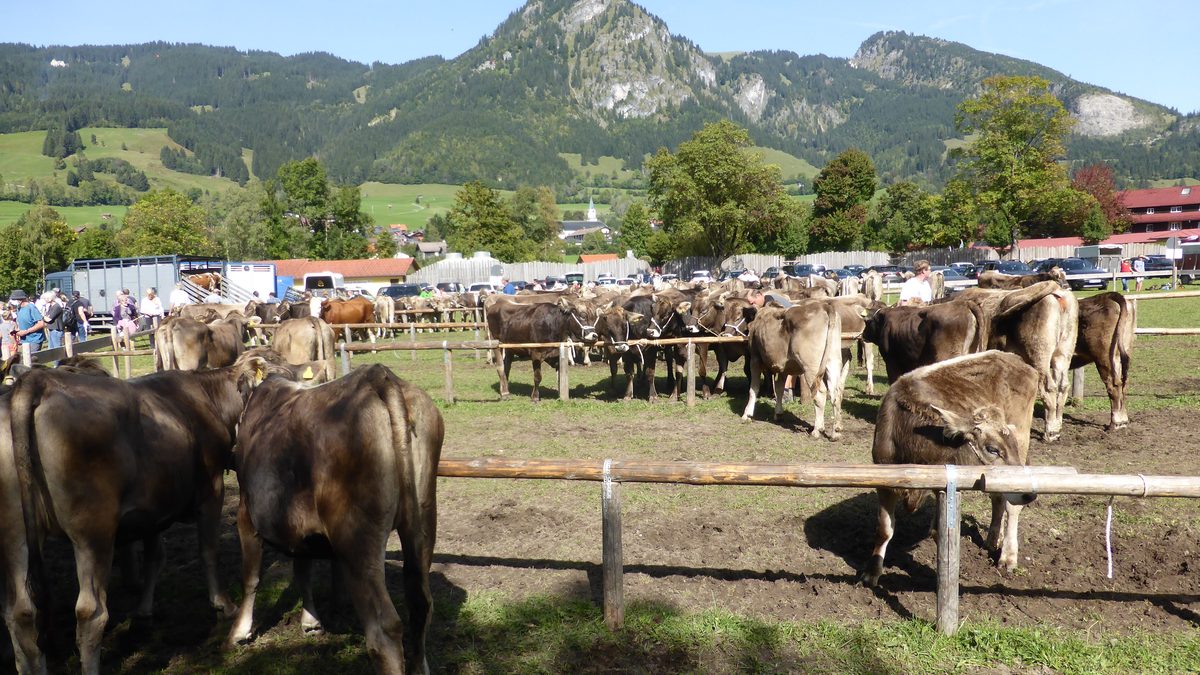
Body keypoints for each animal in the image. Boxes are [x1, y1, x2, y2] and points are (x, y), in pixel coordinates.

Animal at [2, 359, 269, 673]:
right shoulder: (211, 489)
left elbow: (155, 558)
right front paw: (223, 604)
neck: (207, 397)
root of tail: (39, 380)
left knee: (20, 613)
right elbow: (208, 550)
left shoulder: (153, 509)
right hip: (93, 532)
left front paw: (143, 610)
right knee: (91, 612)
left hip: (14, 534)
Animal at [227, 364, 441, 674]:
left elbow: (251, 577)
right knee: (421, 604)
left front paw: (239, 632)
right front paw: (311, 622)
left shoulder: (246, 513)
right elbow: (303, 570)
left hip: (357, 537)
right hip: (423, 520)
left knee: (384, 629)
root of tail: (377, 376)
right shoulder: (299, 529)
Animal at [740, 301, 844, 440]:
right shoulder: (784, 367)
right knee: (835, 394)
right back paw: (835, 432)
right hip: (833, 361)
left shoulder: (755, 359)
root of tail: (824, 306)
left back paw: (817, 430)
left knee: (820, 394)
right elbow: (779, 389)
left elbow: (754, 388)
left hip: (811, 367)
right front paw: (778, 413)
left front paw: (747, 414)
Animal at [863, 351, 1040, 586]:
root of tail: (1016, 359)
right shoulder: (883, 482)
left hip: (1023, 440)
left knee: (1012, 506)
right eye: (992, 449)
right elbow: (884, 529)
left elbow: (939, 532)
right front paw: (872, 572)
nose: (1031, 494)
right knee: (998, 498)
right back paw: (992, 539)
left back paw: (1008, 556)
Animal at [1072, 292, 1135, 431]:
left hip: (1104, 358)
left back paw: (1115, 423)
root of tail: (1107, 296)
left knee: (1113, 386)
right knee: (1123, 385)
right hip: (1119, 355)